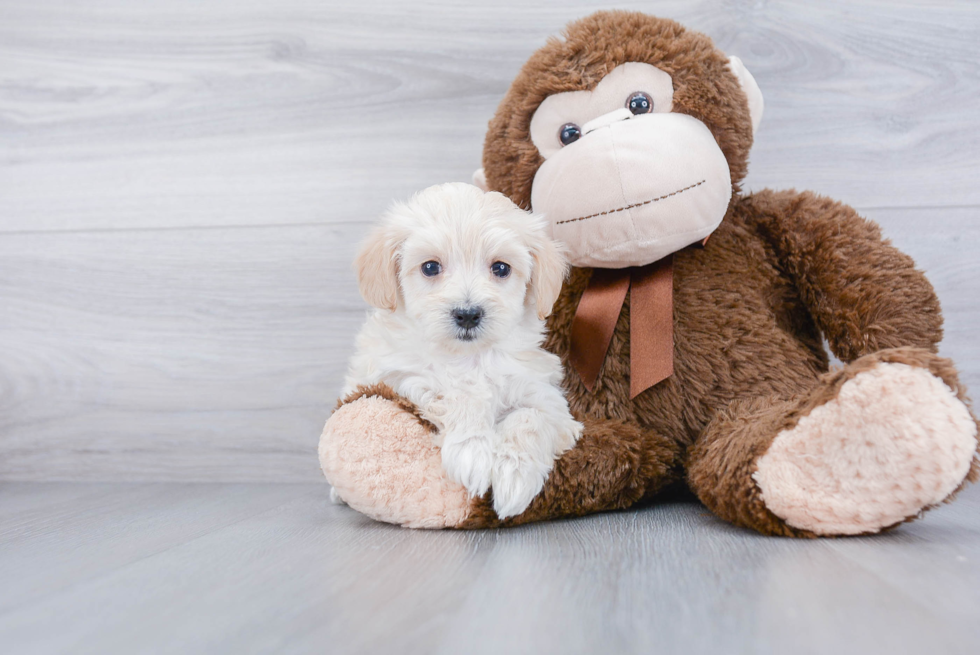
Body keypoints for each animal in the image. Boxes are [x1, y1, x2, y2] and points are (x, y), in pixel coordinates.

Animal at [342, 182, 580, 520]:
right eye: (430, 267)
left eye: (501, 268)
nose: (468, 314)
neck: (470, 359)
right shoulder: (403, 378)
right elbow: (457, 397)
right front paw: (473, 453)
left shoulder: (544, 396)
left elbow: (531, 419)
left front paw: (514, 475)